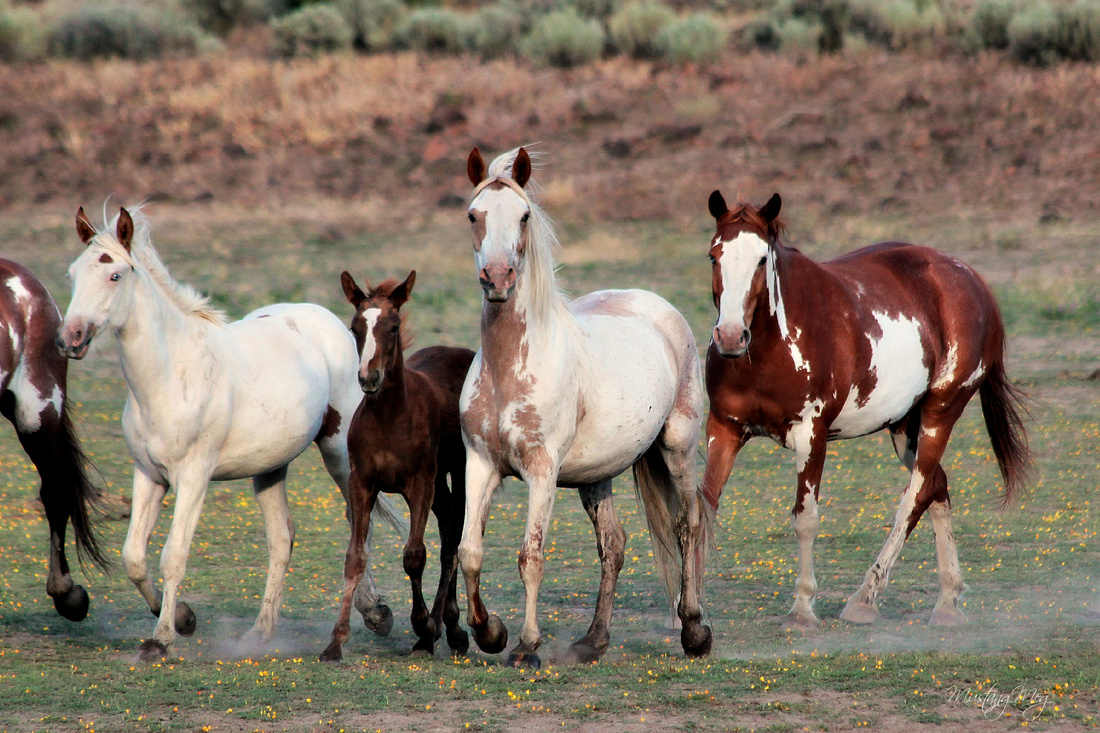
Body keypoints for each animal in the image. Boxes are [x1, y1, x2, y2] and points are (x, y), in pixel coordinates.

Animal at [55, 205, 409, 655]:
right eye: (72, 274)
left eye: (115, 275)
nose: (70, 337)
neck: (169, 375)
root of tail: (333, 324)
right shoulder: (149, 475)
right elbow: (133, 557)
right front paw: (183, 617)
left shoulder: (193, 477)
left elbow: (173, 555)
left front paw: (162, 638)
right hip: (270, 468)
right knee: (282, 539)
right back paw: (261, 630)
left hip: (340, 455)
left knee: (357, 524)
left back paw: (376, 612)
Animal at [319, 270, 473, 660]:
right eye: (355, 326)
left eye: (394, 325)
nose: (368, 378)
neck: (390, 418)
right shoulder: (362, 483)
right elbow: (355, 557)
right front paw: (336, 641)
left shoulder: (419, 483)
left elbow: (415, 555)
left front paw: (423, 626)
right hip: (439, 482)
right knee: (448, 523)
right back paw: (451, 626)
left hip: (459, 470)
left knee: (452, 539)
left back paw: (445, 629)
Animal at [457, 145, 708, 664]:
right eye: (474, 214)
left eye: (524, 216)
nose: (497, 279)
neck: (509, 366)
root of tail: (660, 308)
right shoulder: (480, 463)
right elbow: (470, 552)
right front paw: (491, 632)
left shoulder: (542, 470)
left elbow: (530, 556)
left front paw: (527, 646)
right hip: (597, 476)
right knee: (613, 544)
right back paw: (593, 641)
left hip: (678, 446)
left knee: (687, 522)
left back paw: (695, 629)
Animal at [704, 189, 1029, 629]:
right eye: (714, 256)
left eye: (760, 259)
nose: (730, 336)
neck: (768, 349)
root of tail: (973, 281)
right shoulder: (723, 428)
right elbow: (699, 510)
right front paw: (686, 612)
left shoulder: (811, 435)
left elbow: (806, 519)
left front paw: (802, 609)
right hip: (905, 425)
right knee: (936, 487)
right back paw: (947, 601)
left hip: (941, 412)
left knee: (913, 498)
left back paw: (864, 599)